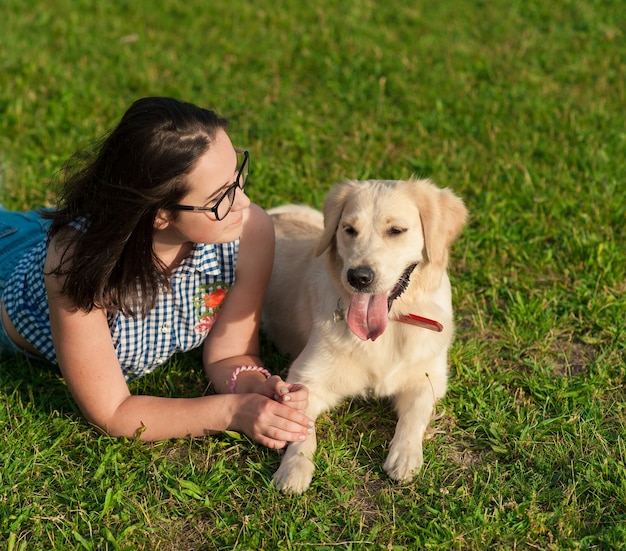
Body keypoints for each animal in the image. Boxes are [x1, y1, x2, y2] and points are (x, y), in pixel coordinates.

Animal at [260, 179, 466, 494]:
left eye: (396, 230)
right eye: (349, 229)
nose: (358, 277)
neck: (389, 327)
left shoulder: (429, 377)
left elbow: (414, 414)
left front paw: (405, 456)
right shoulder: (305, 377)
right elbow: (302, 428)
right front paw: (294, 469)